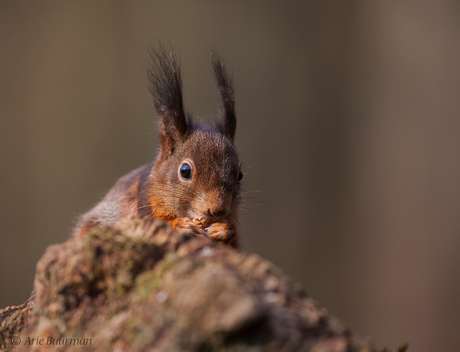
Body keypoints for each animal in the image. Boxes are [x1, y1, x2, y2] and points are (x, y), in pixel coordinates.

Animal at [73, 48, 243, 249]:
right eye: (185, 171)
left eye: (240, 175)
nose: (217, 210)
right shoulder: (143, 206)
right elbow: (157, 221)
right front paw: (181, 225)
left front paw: (224, 229)